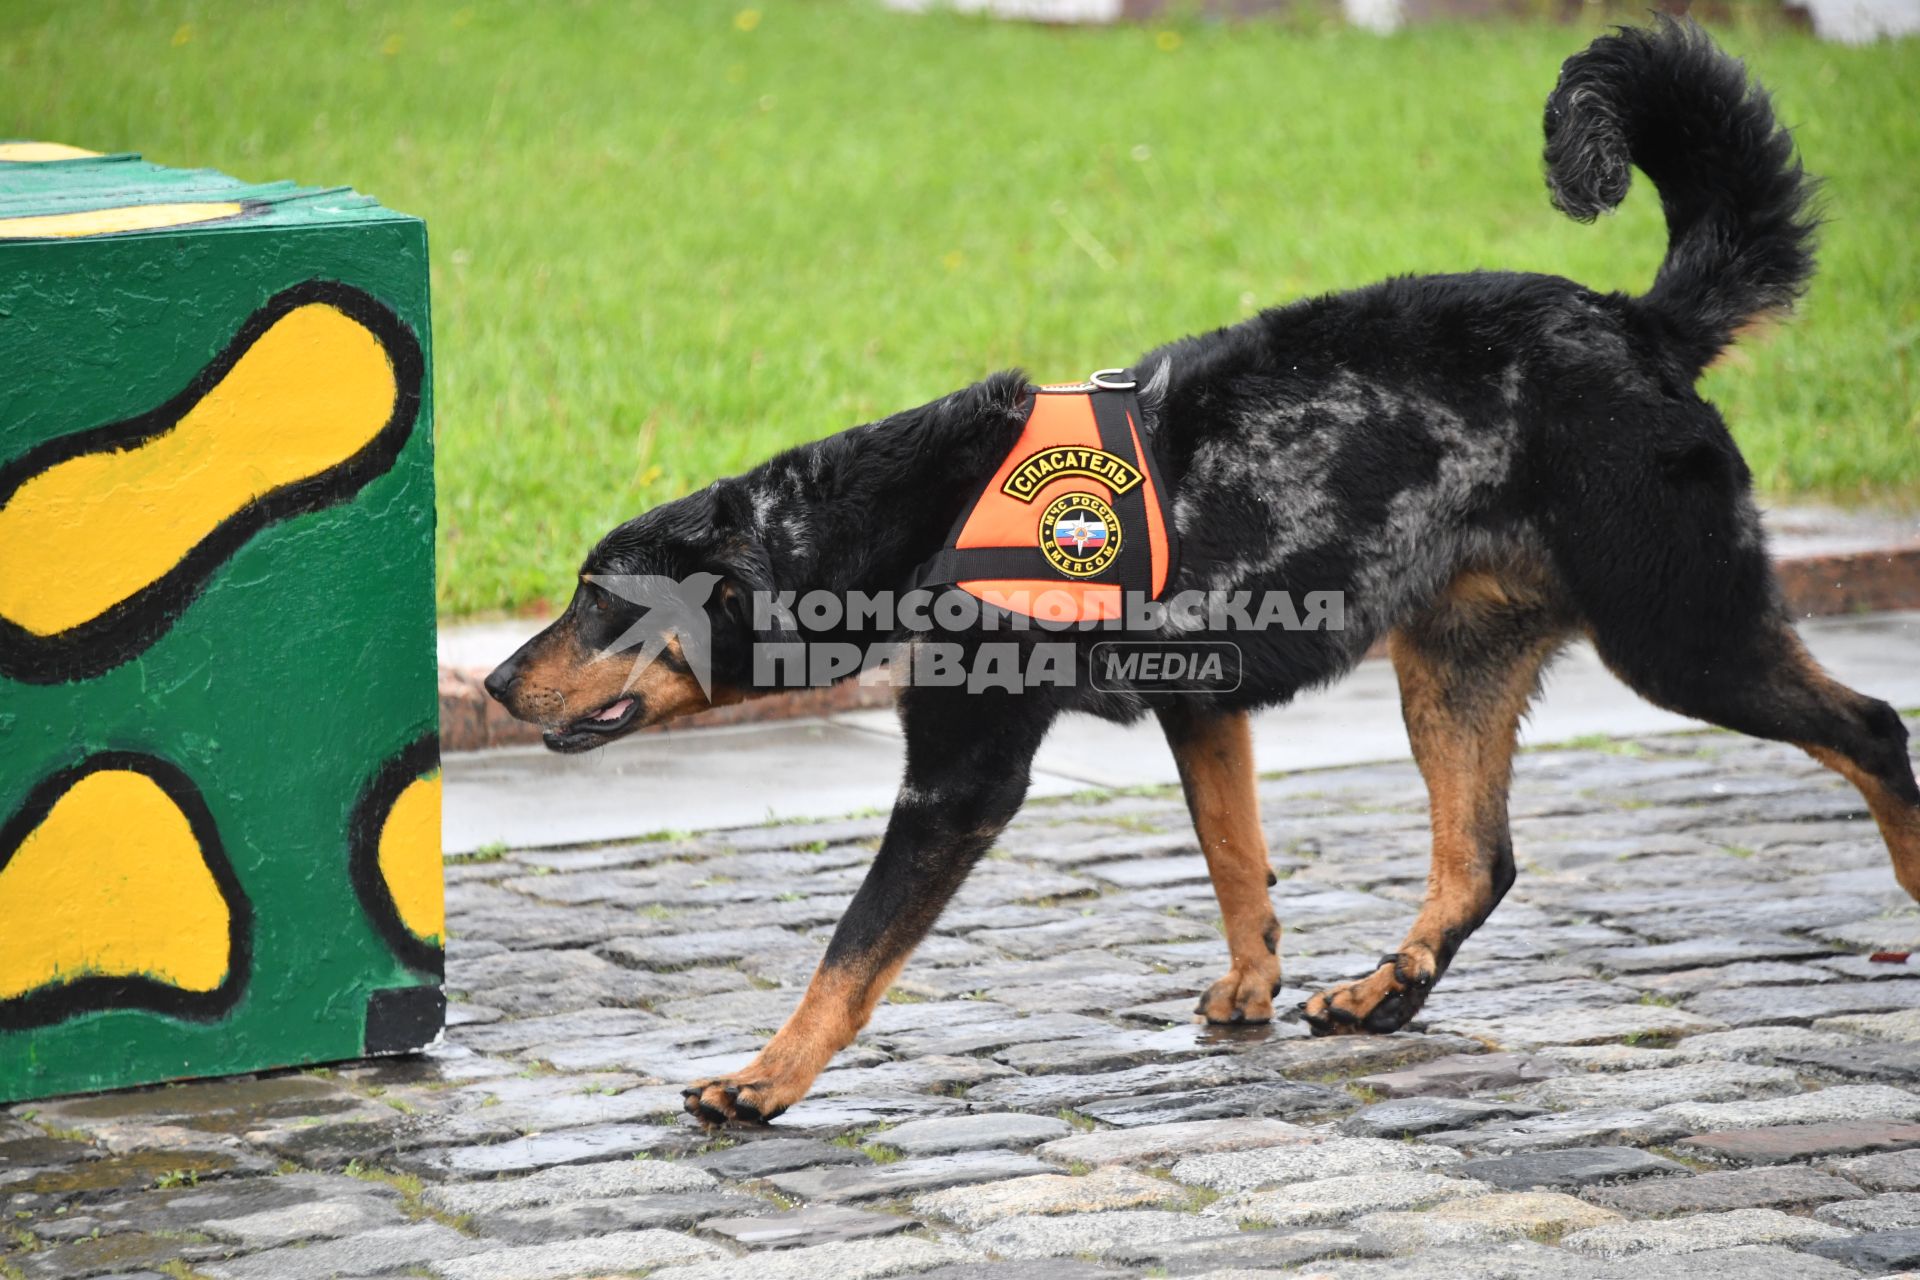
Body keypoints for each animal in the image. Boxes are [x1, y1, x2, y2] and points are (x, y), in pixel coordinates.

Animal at [483, 17, 1920, 1120]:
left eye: (604, 601)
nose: (494, 685)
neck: (902, 516)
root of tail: (1639, 324)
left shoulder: (960, 780)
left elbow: (851, 952)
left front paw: (765, 1079)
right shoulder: (1202, 707)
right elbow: (1238, 861)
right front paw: (1254, 990)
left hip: (1679, 632)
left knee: (1872, 726)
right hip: (1451, 668)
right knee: (1480, 859)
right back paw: (1383, 992)